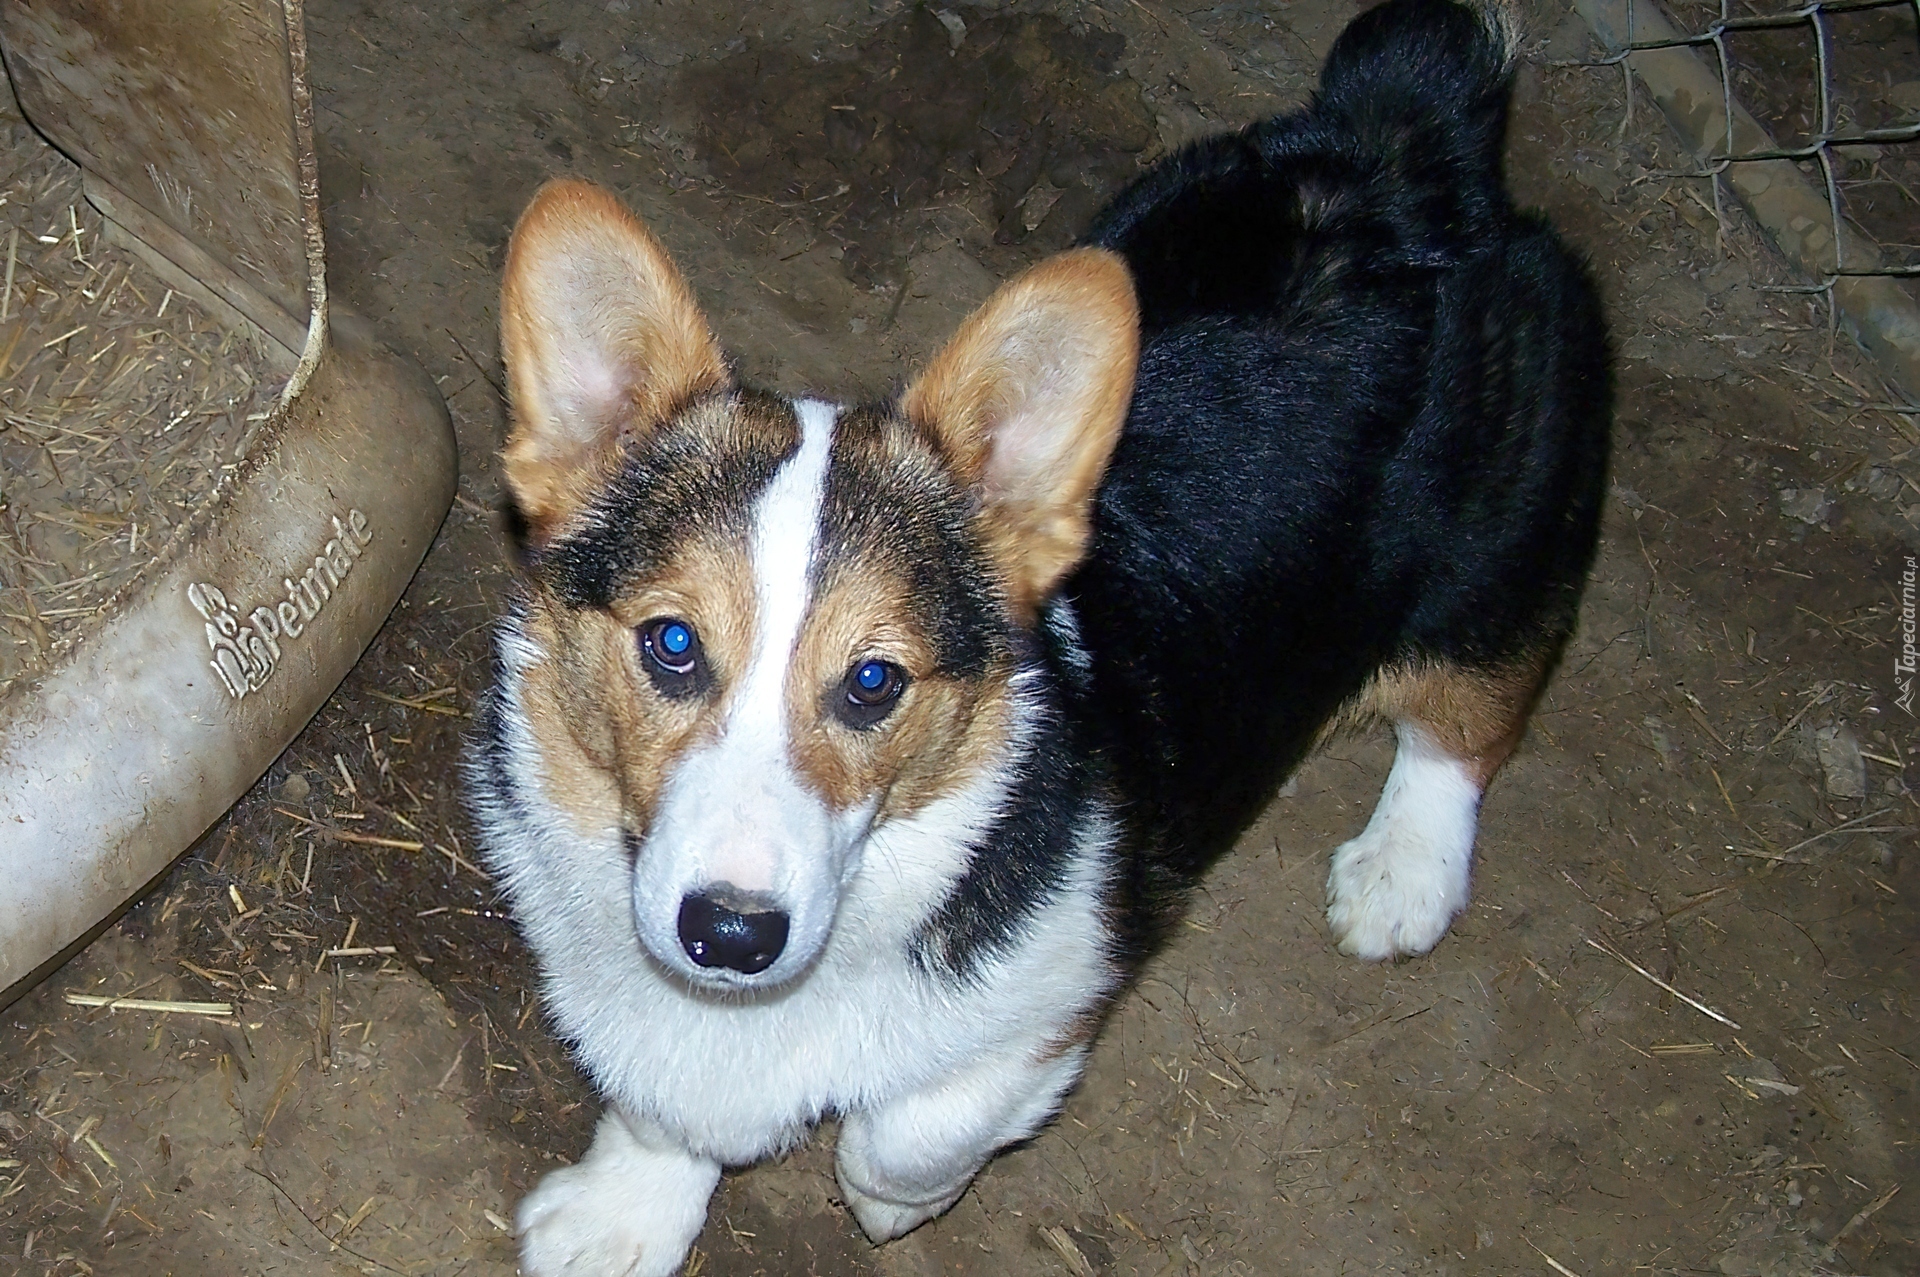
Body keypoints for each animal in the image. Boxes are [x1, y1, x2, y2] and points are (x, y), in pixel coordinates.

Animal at [464, 4, 1605, 1267]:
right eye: (672, 644)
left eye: (874, 680)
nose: (730, 931)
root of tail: (1410, 148)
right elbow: (662, 1096)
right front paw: (621, 1215)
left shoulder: (1067, 983)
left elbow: (917, 1121)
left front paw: (892, 1199)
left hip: (1500, 557)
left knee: (1471, 712)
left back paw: (1404, 868)